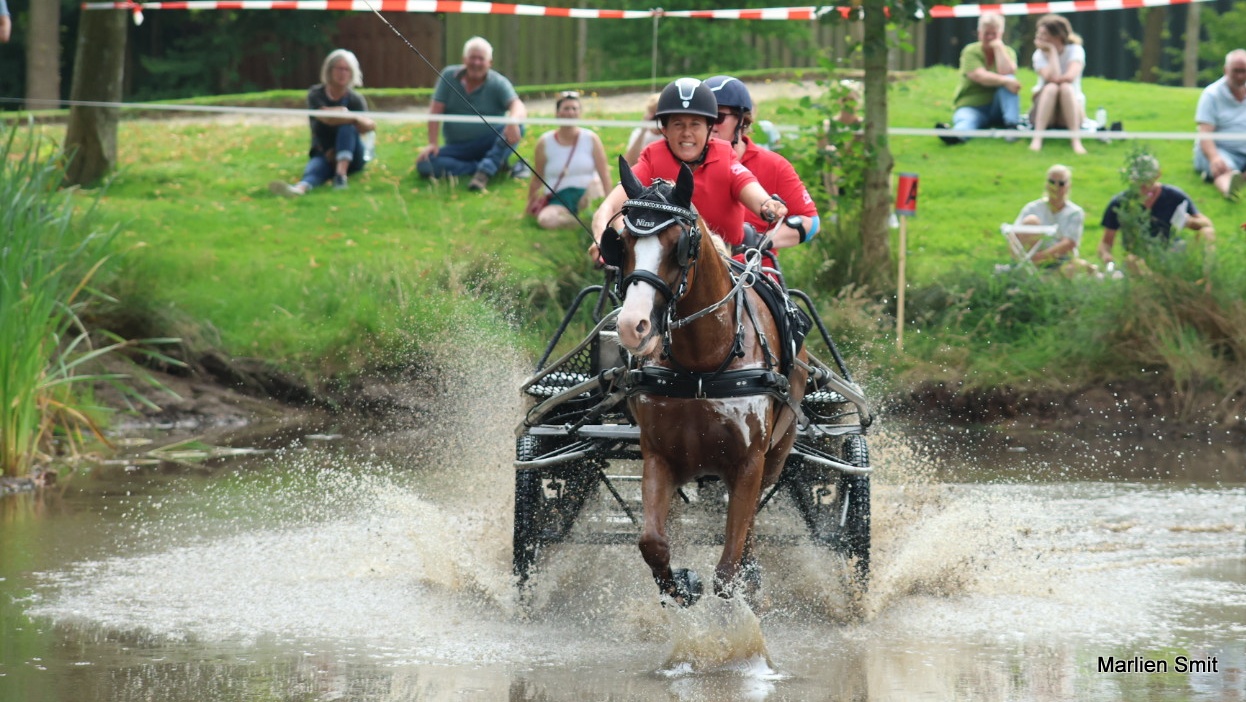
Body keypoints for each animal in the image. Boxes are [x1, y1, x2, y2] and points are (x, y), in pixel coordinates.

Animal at [600, 157, 812, 603]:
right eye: (620, 241)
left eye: (679, 244)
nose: (632, 326)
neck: (702, 366)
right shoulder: (659, 457)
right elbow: (652, 543)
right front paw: (681, 584)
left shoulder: (749, 465)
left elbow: (728, 568)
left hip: (777, 454)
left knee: (749, 530)